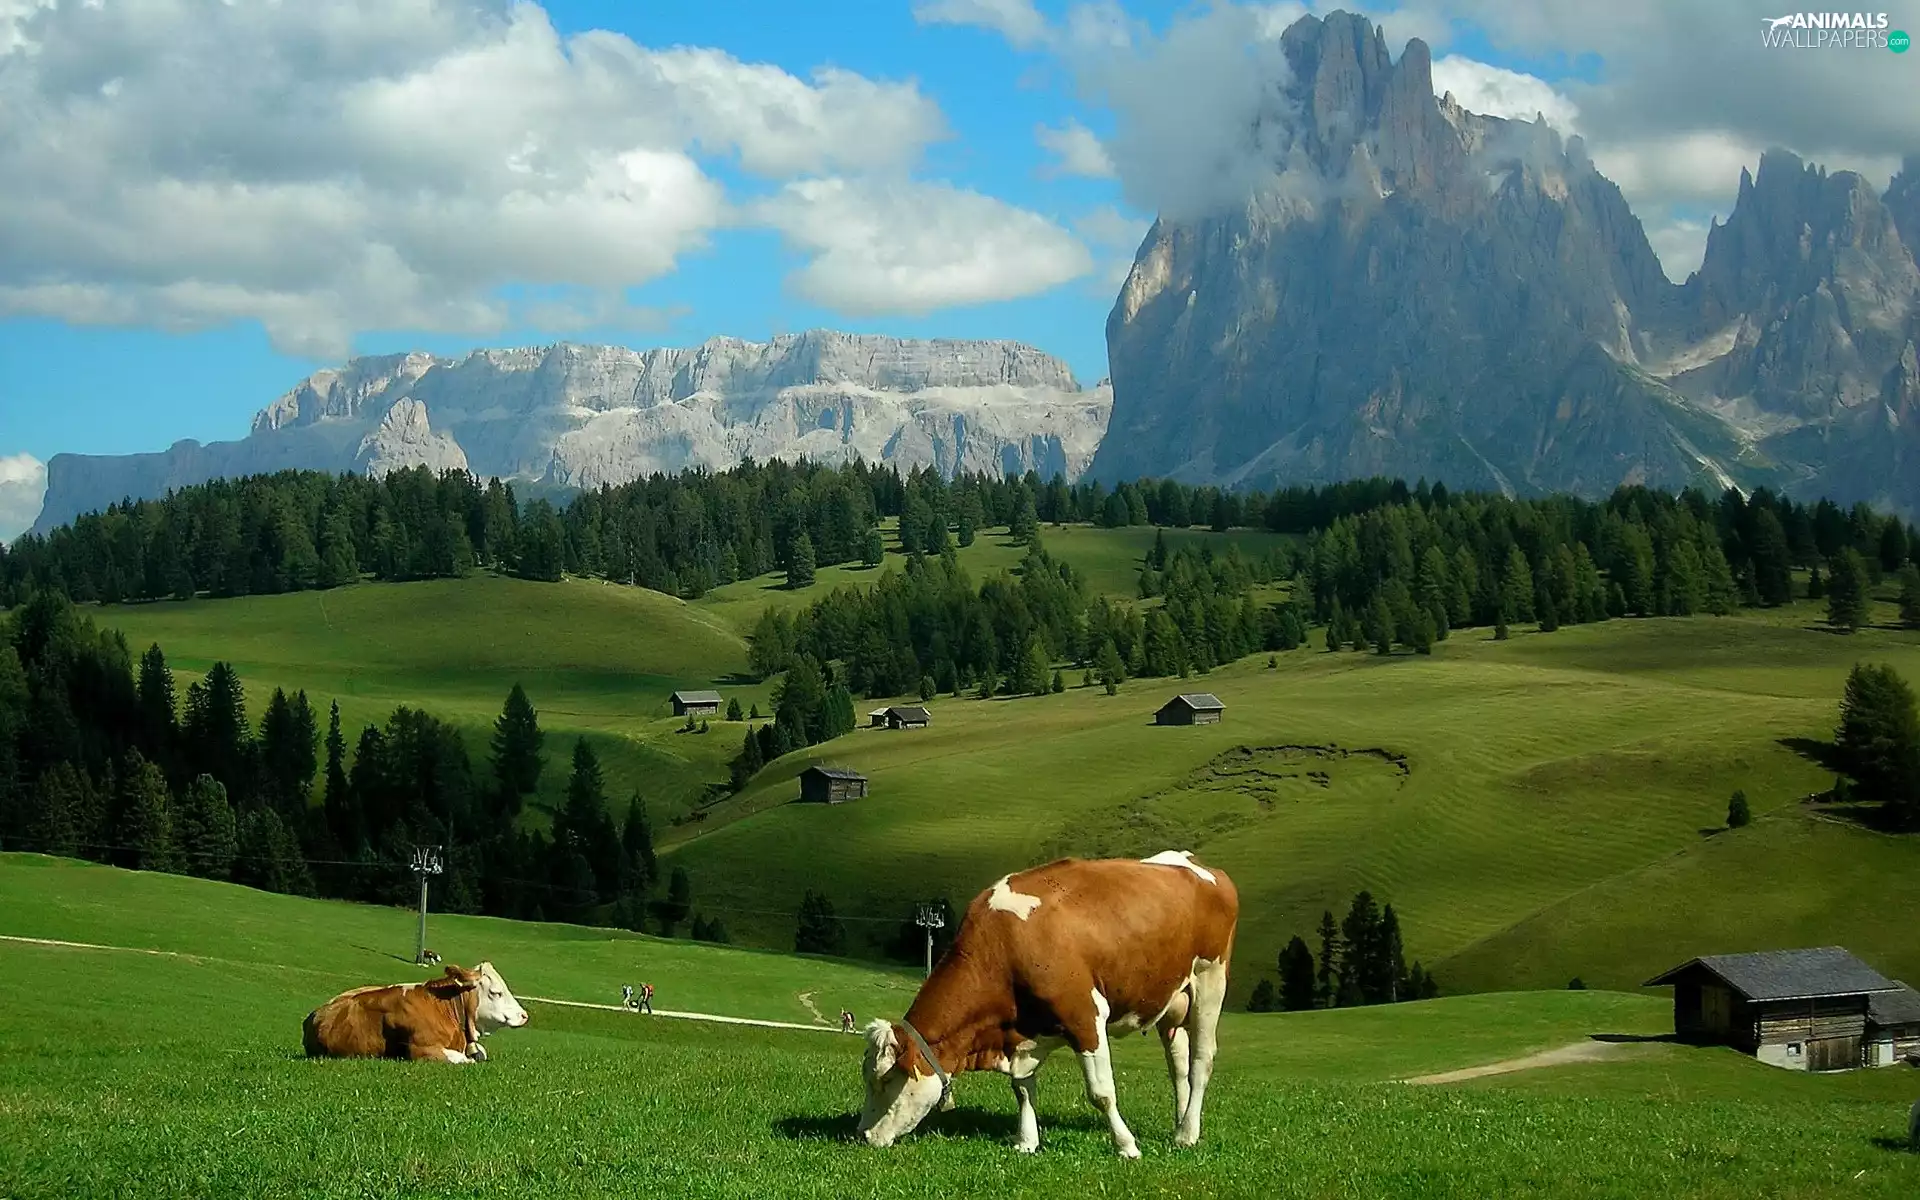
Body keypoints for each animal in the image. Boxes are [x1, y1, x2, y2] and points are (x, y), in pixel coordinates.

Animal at [857, 850, 1238, 1158]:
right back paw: (1183, 1123)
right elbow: (1023, 1088)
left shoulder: (1085, 1015)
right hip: (1171, 1002)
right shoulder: (1023, 1034)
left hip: (1210, 981)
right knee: (1179, 1066)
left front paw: (1126, 1145)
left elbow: (1101, 1092)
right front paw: (1026, 1141)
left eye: (886, 1080)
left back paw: (1187, 1134)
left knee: (1201, 1061)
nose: (862, 1136)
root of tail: (1197, 863)